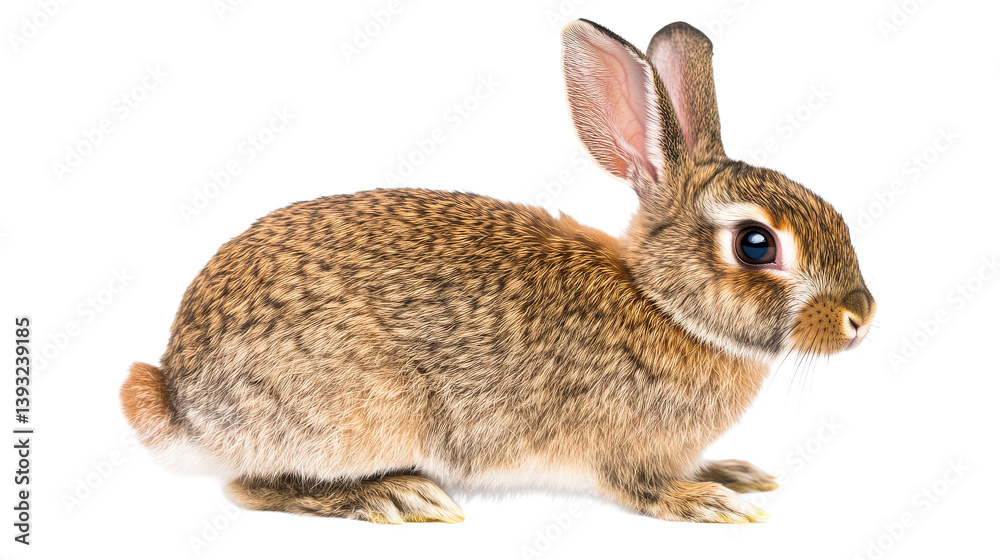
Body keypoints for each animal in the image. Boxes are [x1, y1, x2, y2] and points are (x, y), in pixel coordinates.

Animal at [120, 19, 875, 524]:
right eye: (756, 245)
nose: (861, 318)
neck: (664, 304)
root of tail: (178, 399)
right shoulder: (620, 448)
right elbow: (644, 487)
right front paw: (709, 501)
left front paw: (735, 474)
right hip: (357, 414)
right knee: (253, 485)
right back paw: (394, 495)